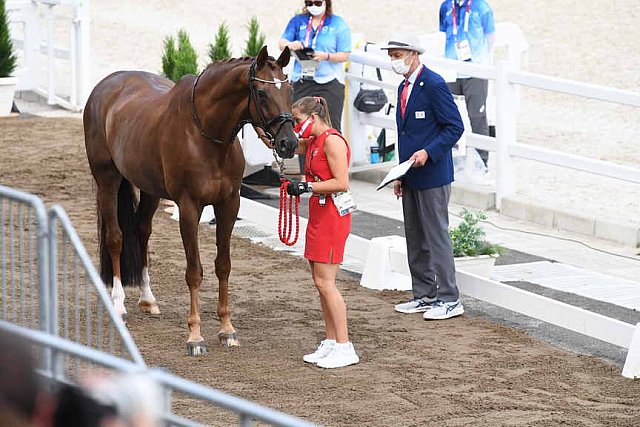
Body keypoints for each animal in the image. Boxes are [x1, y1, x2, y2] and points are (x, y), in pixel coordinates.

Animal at [82, 46, 298, 356]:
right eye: (261, 92)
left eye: (290, 90)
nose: (288, 143)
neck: (206, 134)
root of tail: (106, 85)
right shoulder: (188, 208)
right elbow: (194, 271)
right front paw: (195, 336)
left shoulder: (229, 205)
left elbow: (223, 265)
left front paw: (226, 329)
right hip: (107, 181)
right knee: (115, 237)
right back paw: (118, 303)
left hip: (149, 189)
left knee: (142, 232)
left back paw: (148, 299)